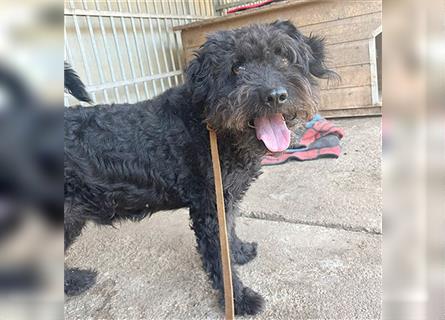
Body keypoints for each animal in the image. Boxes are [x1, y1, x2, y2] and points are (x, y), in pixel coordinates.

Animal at [64, 20, 334, 316]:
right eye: (236, 67)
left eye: (283, 57)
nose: (275, 96)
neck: (208, 123)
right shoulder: (208, 208)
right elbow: (218, 255)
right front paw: (240, 299)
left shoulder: (226, 198)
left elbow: (230, 231)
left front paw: (238, 253)